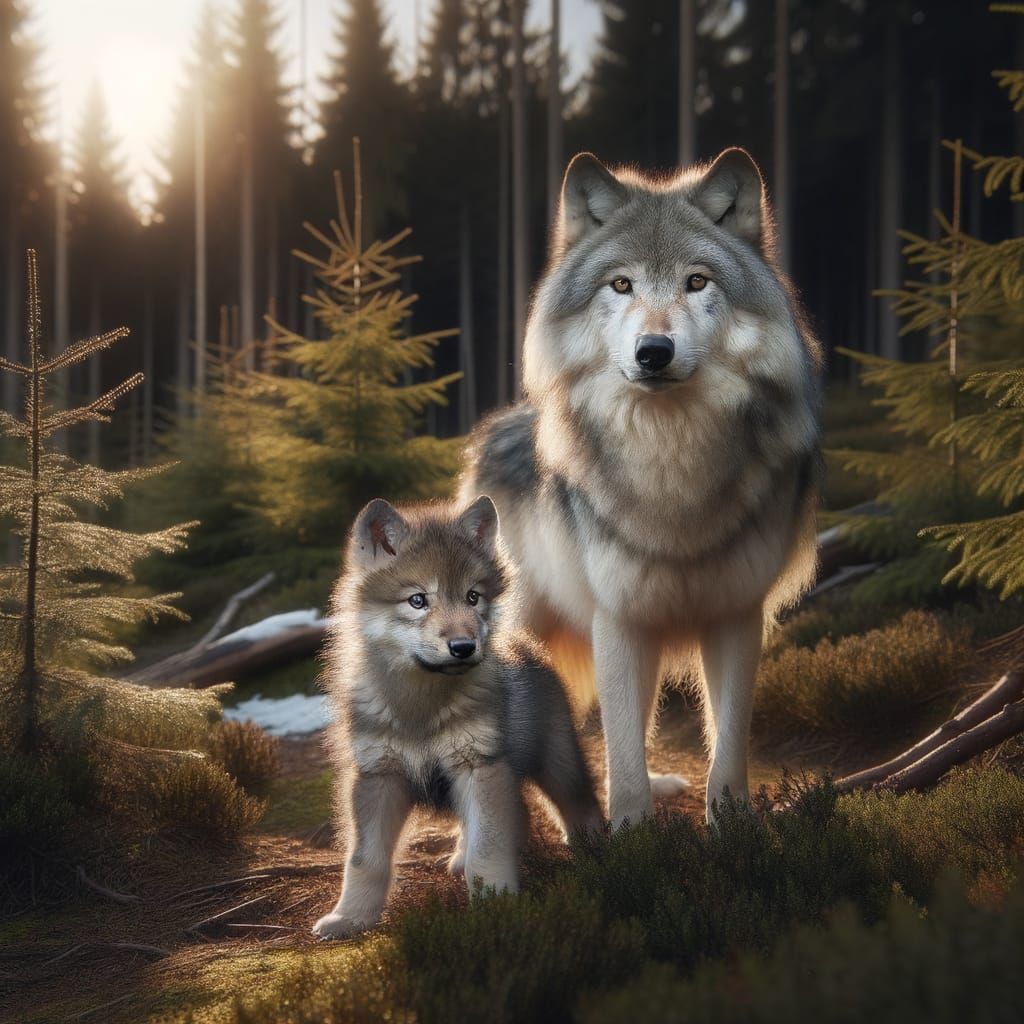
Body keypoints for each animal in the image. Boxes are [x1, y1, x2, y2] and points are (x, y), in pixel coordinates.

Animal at [313, 495, 600, 939]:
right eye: (417, 600)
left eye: (472, 597)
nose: (464, 646)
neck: (420, 709)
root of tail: (525, 642)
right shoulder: (378, 777)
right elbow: (365, 860)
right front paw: (351, 917)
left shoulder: (480, 765)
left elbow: (489, 848)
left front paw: (496, 906)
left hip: (558, 762)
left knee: (580, 802)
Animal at [461, 148, 822, 827]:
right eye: (621, 284)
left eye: (697, 282)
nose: (654, 351)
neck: (671, 466)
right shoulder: (619, 618)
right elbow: (623, 752)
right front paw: (630, 833)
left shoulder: (736, 613)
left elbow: (725, 745)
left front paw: (732, 827)